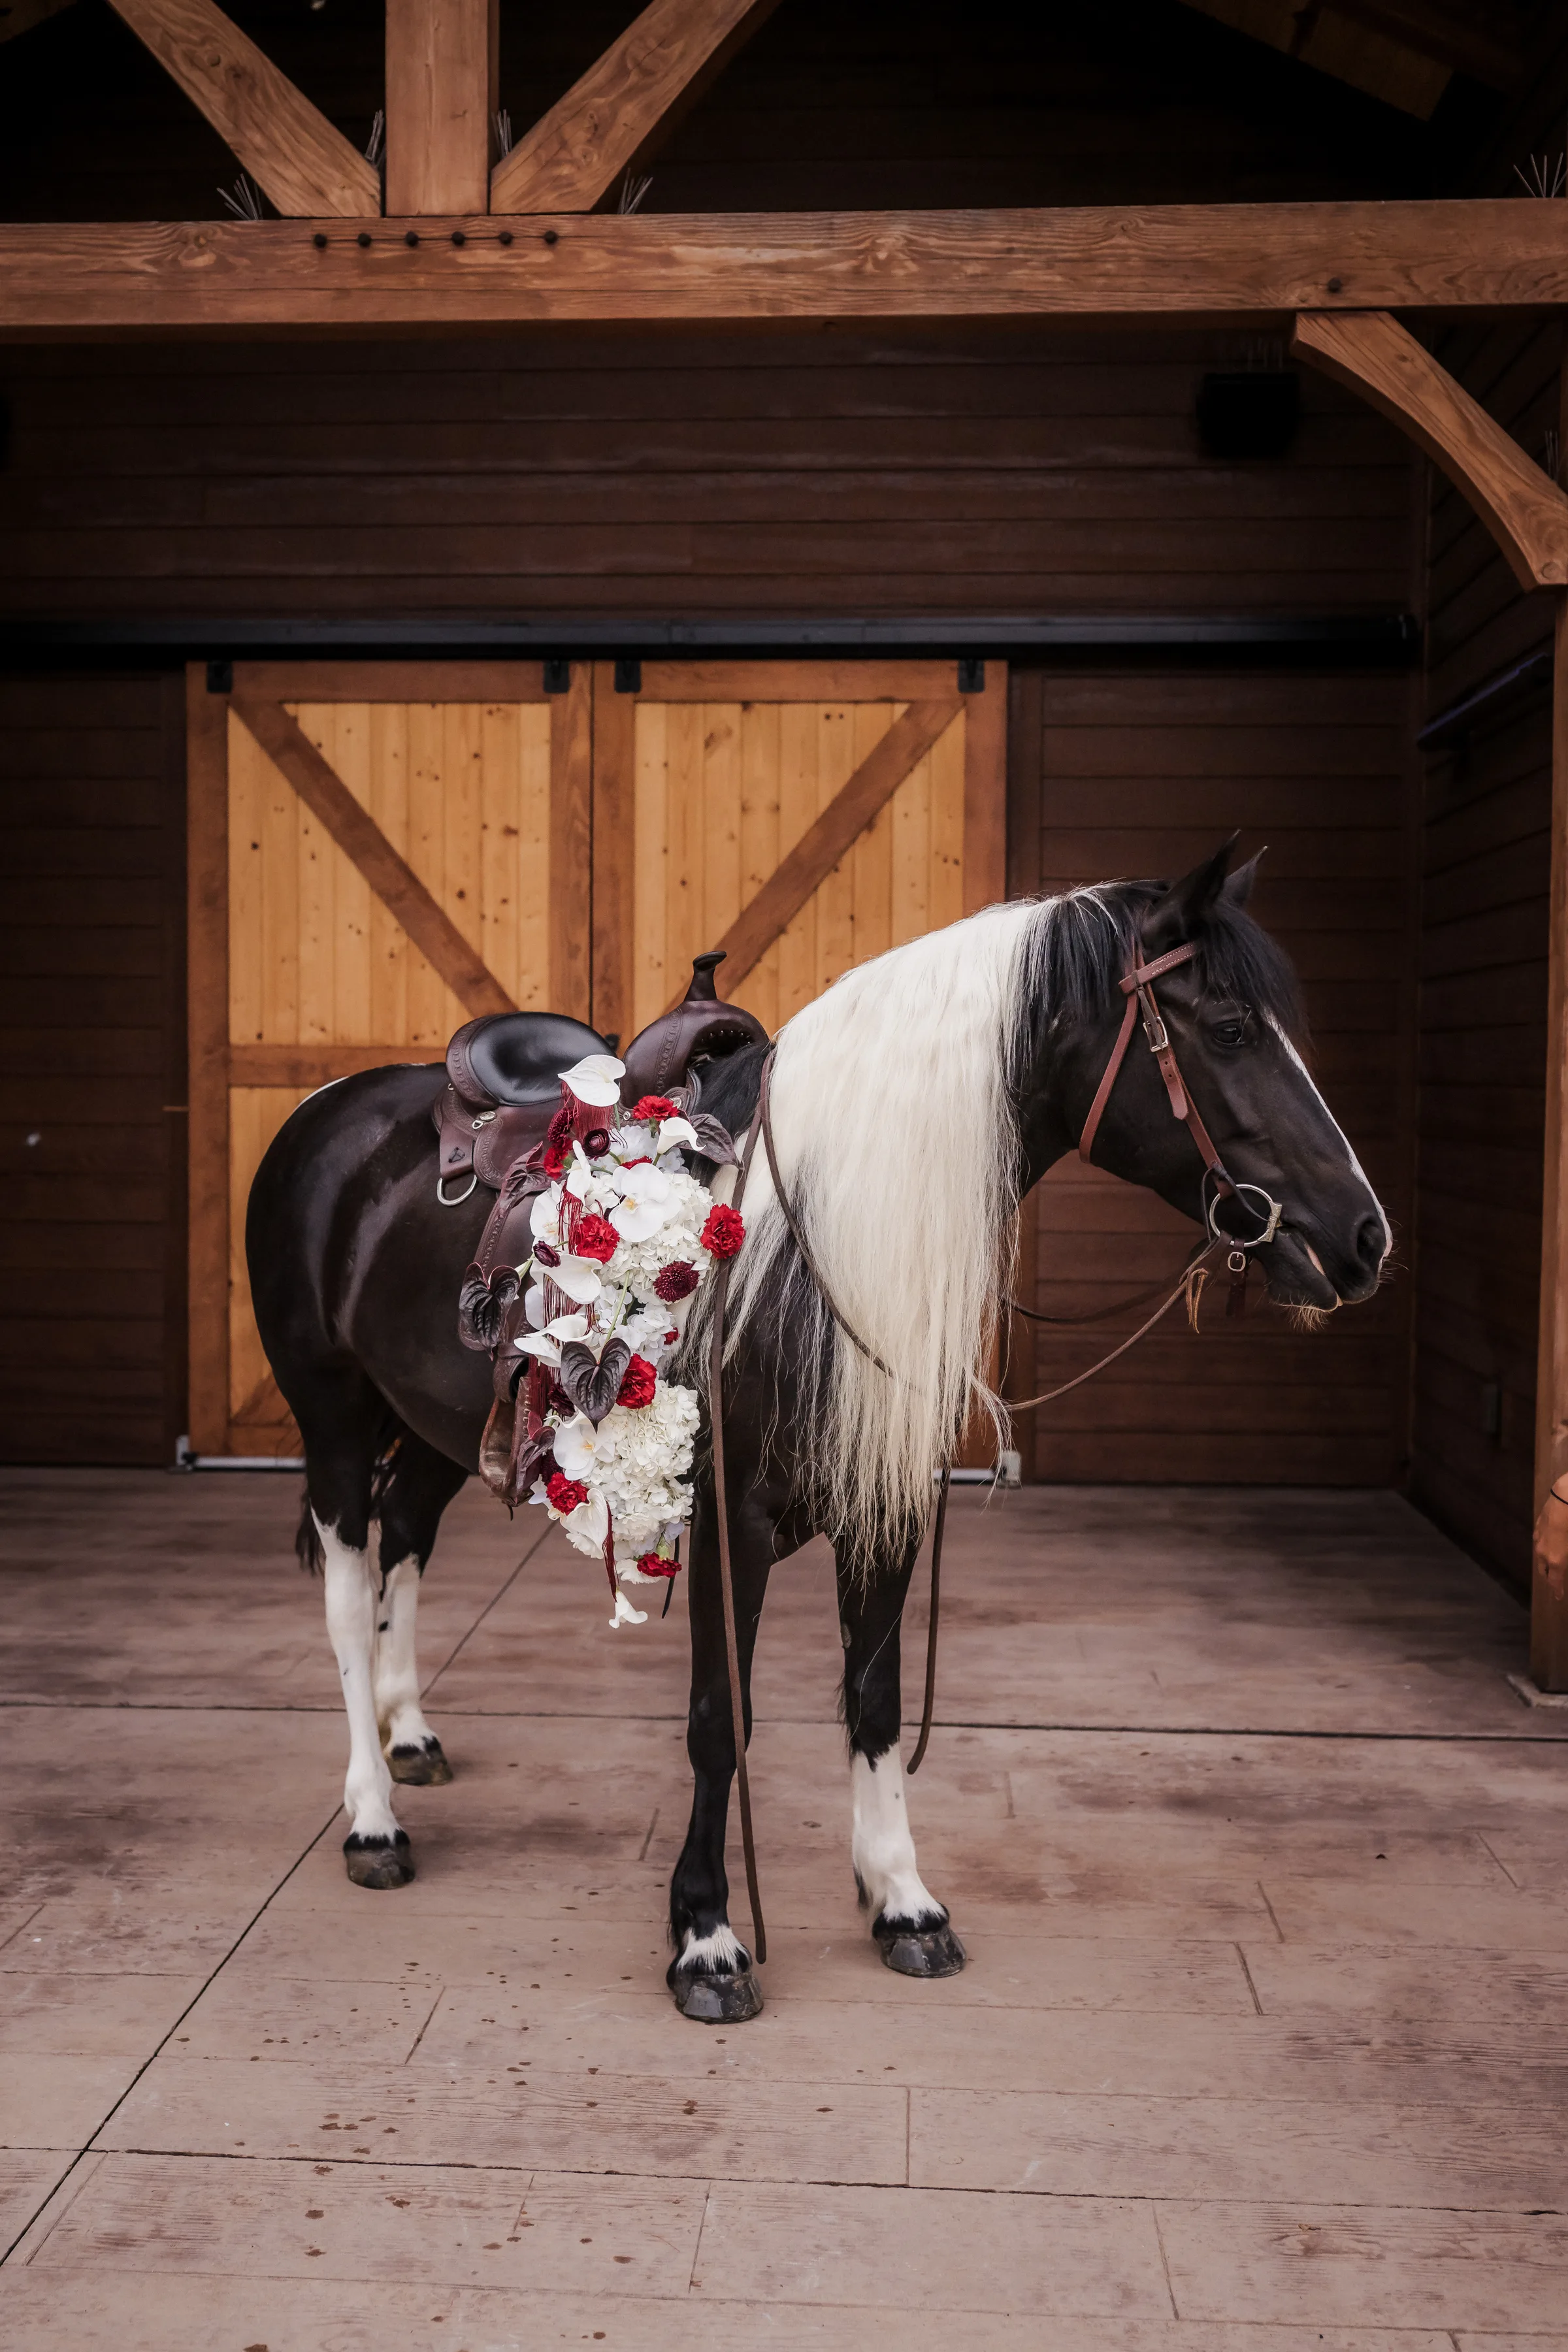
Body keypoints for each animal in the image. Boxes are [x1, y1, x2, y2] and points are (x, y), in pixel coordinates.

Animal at [248, 840, 1390, 2022]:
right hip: (331, 1422)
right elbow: (720, 1720)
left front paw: (902, 1900)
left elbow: (875, 1703)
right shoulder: (728, 1526)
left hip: (437, 1433)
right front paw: (707, 1939)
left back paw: (410, 1735)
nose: (1364, 1239)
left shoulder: (887, 1514)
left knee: (405, 1544)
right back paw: (373, 1819)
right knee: (348, 1601)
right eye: (1231, 1028)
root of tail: (330, 1110)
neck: (810, 1244)